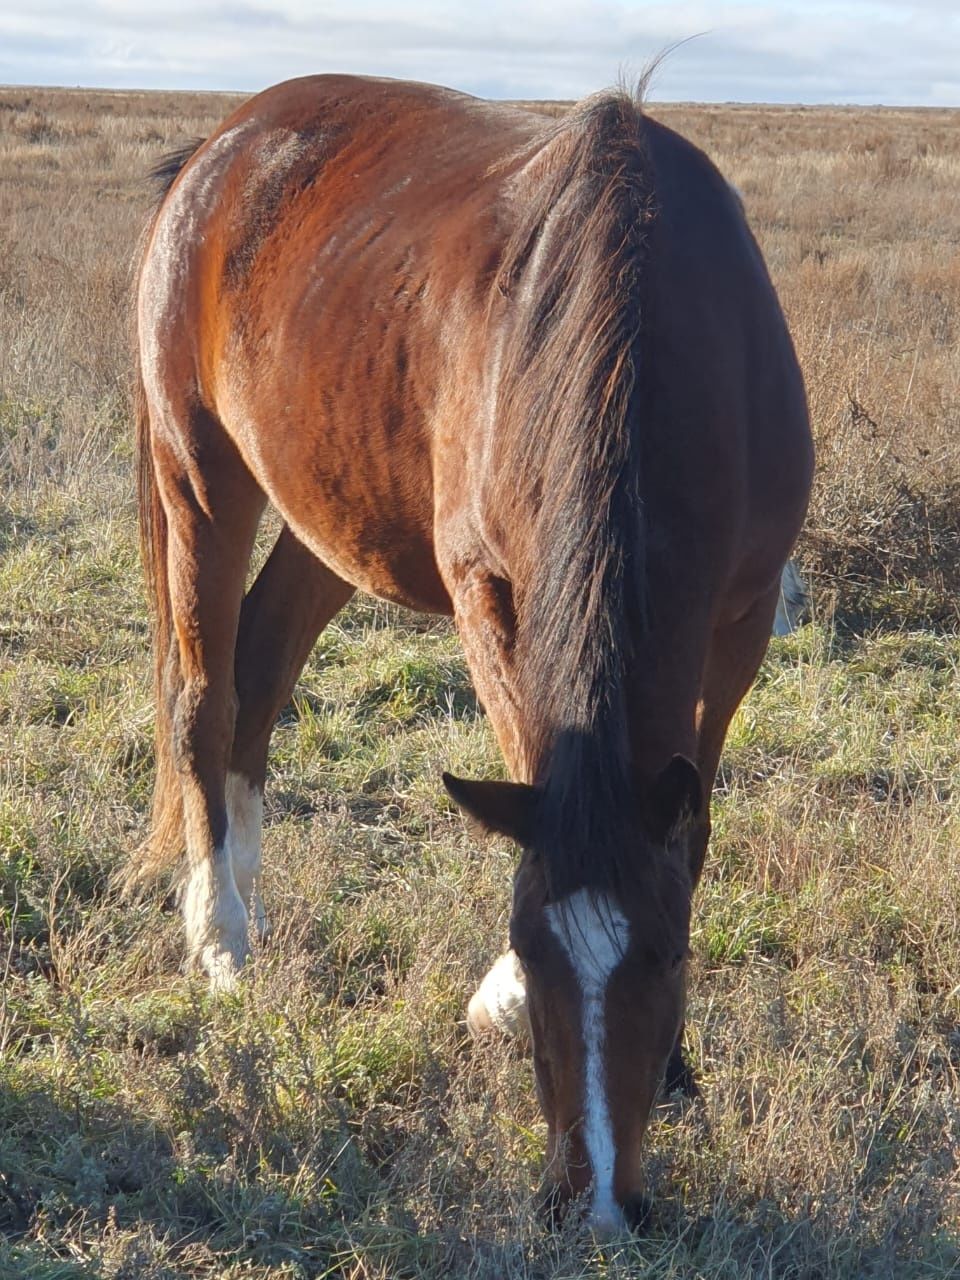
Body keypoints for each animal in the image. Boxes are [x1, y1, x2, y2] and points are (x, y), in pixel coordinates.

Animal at [131, 74, 814, 1233]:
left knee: (261, 668)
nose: (597, 1203)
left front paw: (680, 1069)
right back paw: (219, 931)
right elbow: (533, 765)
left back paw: (247, 903)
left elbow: (695, 826)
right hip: (202, 474)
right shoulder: (489, 591)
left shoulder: (746, 615)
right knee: (206, 695)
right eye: (535, 949)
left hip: (334, 514)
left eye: (671, 952)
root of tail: (218, 148)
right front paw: (496, 998)